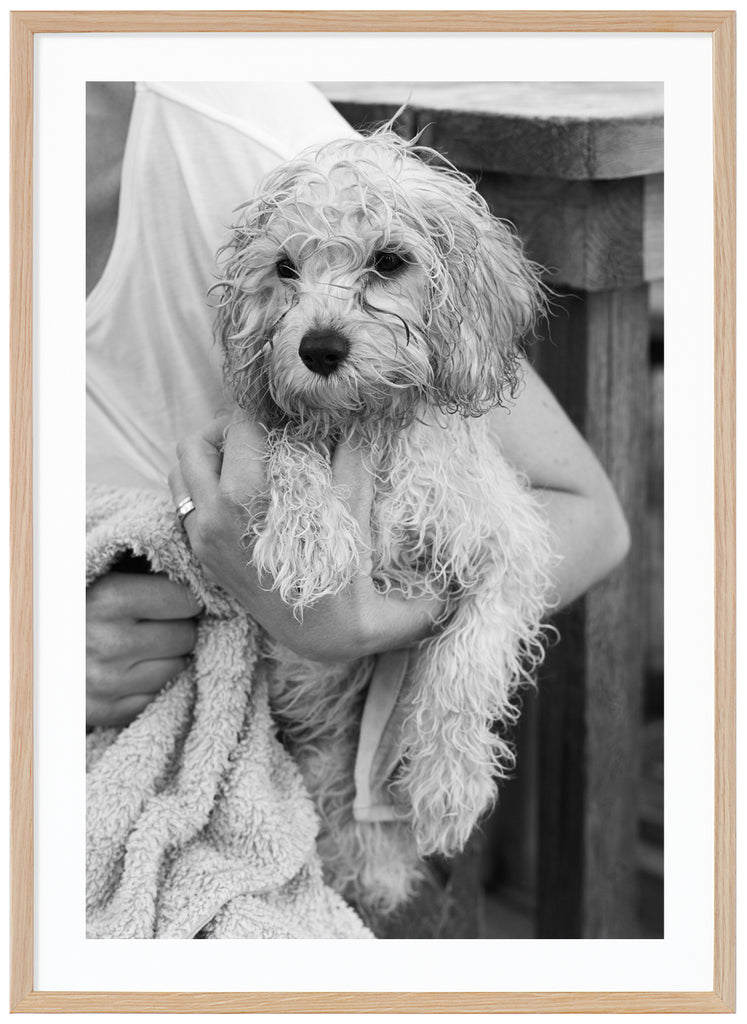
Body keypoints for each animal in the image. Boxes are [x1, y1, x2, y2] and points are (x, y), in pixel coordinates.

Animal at [213, 128, 549, 913]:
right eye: (284, 267)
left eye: (390, 260)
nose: (319, 349)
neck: (371, 426)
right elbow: (294, 443)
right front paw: (308, 534)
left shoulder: (505, 548)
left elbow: (465, 664)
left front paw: (449, 785)